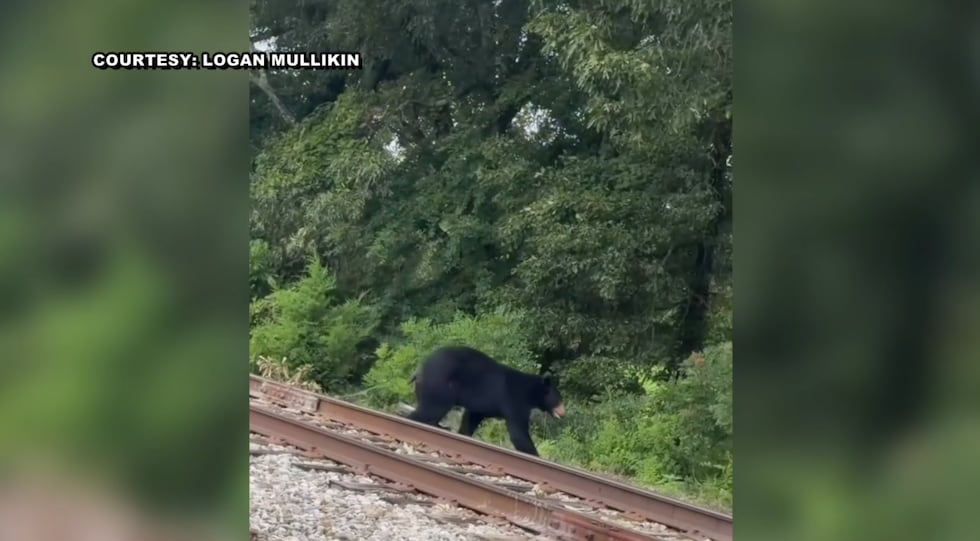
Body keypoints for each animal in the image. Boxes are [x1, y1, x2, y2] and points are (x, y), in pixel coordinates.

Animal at [406, 345, 565, 456]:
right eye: (559, 399)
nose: (564, 412)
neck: (530, 392)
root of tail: (419, 370)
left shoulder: (480, 406)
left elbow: (472, 417)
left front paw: (463, 433)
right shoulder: (515, 400)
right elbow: (518, 431)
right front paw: (535, 454)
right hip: (440, 385)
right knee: (431, 409)